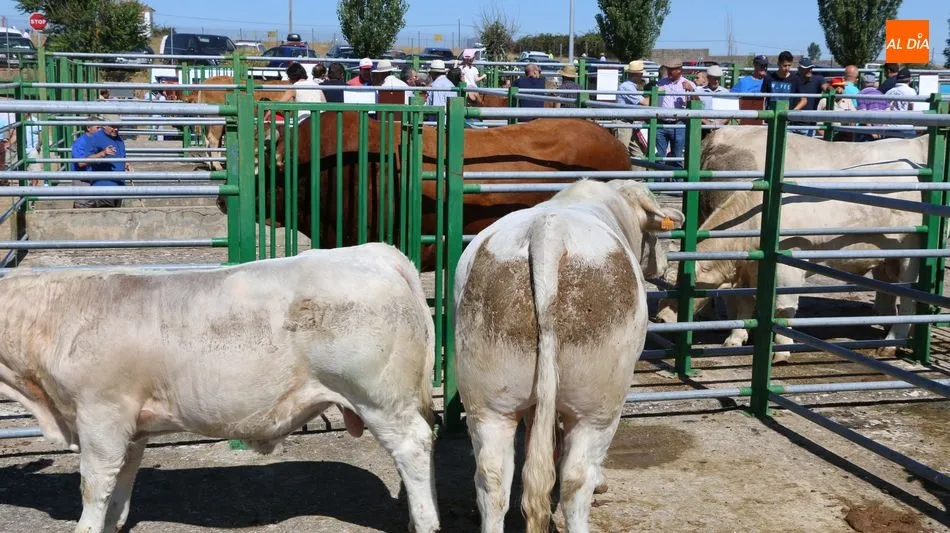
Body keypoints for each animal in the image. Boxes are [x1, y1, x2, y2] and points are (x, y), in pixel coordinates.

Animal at [0, 244, 440, 533]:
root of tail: (376, 253)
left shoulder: (100, 413)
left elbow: (94, 484)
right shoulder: (132, 426)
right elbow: (120, 488)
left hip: (379, 398)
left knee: (413, 446)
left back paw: (426, 522)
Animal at [454, 179, 684, 533]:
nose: (663, 263)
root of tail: (548, 232)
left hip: (489, 401)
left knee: (492, 480)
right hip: (598, 405)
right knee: (576, 481)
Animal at [656, 161, 928, 363]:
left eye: (681, 287)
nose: (659, 319)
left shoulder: (787, 268)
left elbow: (782, 308)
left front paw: (781, 350)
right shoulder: (750, 271)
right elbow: (744, 305)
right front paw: (734, 339)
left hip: (909, 252)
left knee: (908, 298)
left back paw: (890, 344)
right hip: (887, 260)